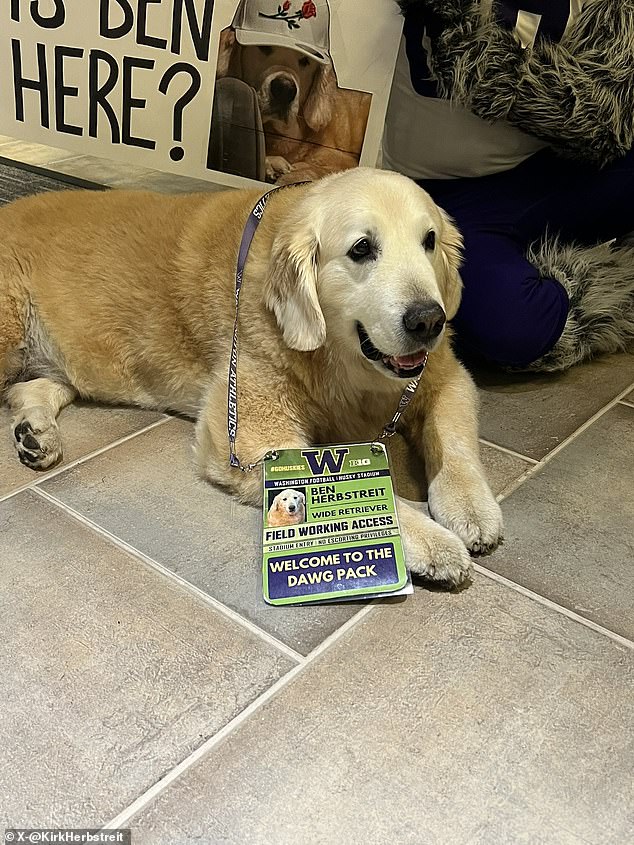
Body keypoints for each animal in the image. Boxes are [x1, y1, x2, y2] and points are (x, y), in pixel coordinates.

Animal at [1, 166, 504, 588]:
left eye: (429, 241)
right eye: (362, 249)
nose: (428, 320)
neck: (338, 358)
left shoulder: (445, 375)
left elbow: (454, 440)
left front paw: (470, 507)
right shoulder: (249, 429)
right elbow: (343, 483)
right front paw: (430, 540)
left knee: (31, 388)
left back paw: (35, 434)